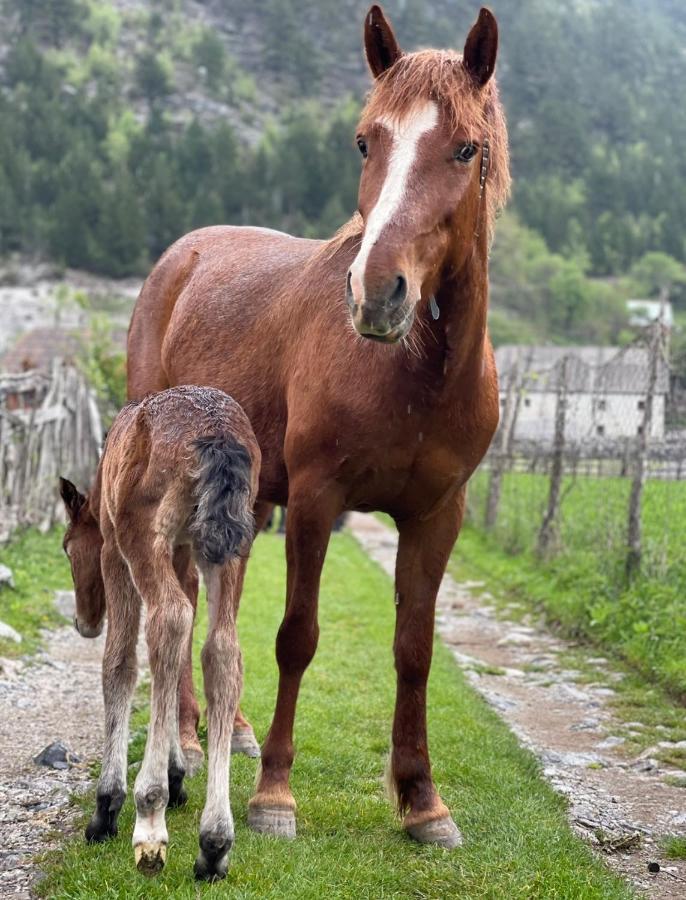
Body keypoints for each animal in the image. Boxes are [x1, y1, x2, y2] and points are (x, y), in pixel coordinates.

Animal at [58, 386, 260, 880]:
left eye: (68, 548)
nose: (84, 622)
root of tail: (218, 434)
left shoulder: (113, 551)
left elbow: (121, 664)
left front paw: (108, 805)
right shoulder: (183, 550)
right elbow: (180, 660)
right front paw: (177, 771)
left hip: (141, 538)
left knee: (168, 618)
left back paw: (149, 815)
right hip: (230, 549)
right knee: (220, 649)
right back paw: (214, 843)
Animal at [125, 5, 510, 852]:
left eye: (466, 147)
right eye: (367, 141)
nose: (377, 293)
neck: (413, 376)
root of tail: (181, 256)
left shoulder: (438, 516)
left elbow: (414, 649)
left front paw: (423, 800)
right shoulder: (314, 501)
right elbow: (296, 636)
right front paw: (273, 795)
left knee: (219, 592)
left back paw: (229, 728)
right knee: (185, 601)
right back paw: (192, 740)